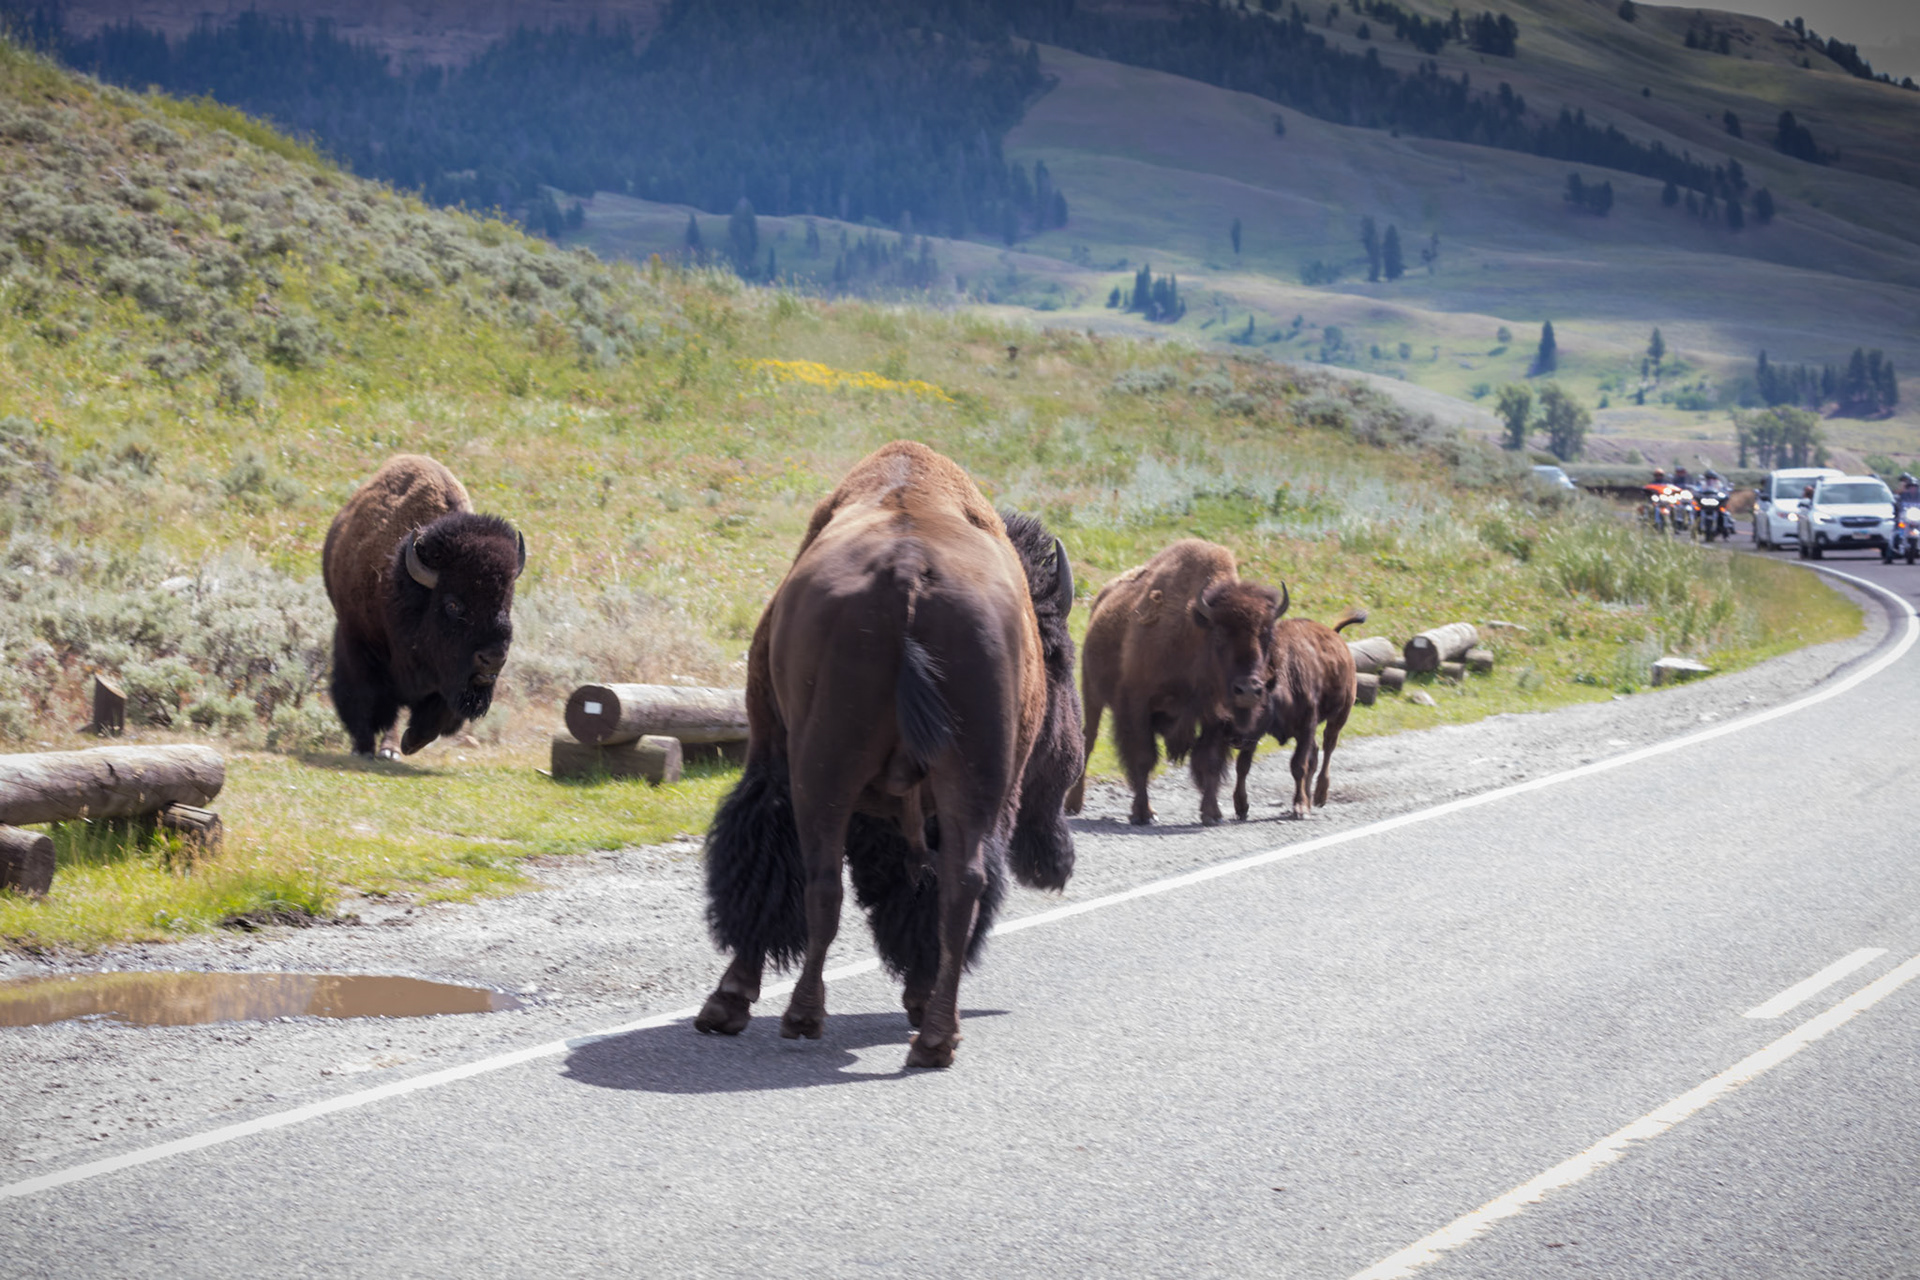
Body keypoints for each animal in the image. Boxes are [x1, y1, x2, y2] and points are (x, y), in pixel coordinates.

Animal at [322, 454, 525, 758]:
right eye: (453, 604)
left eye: (506, 601)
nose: (493, 657)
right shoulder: (356, 640)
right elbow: (363, 696)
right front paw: (364, 747)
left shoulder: (450, 681)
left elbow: (437, 714)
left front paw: (409, 743)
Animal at [695, 440, 1080, 1069]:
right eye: (1063, 661)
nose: (1055, 862)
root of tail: (909, 574)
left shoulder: (771, 752)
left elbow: (763, 872)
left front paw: (729, 1001)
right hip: (969, 783)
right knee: (960, 886)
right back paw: (936, 1038)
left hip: (821, 771)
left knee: (821, 883)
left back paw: (804, 1016)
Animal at [1064, 539, 1286, 827]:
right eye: (1219, 635)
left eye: (1267, 635)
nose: (1248, 690)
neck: (1194, 634)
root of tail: (1101, 598)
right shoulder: (1137, 706)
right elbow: (1142, 758)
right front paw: (1142, 813)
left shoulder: (1216, 717)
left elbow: (1209, 761)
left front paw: (1211, 813)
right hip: (1092, 694)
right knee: (1088, 740)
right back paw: (1073, 804)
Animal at [1232, 606, 1367, 820]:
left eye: (1257, 703)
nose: (1233, 736)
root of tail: (1336, 636)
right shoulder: (1255, 737)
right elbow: (1243, 766)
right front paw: (1241, 807)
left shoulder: (1306, 726)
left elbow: (1298, 766)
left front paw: (1300, 807)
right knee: (1316, 753)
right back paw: (1311, 798)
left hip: (1339, 716)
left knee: (1328, 747)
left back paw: (1320, 796)